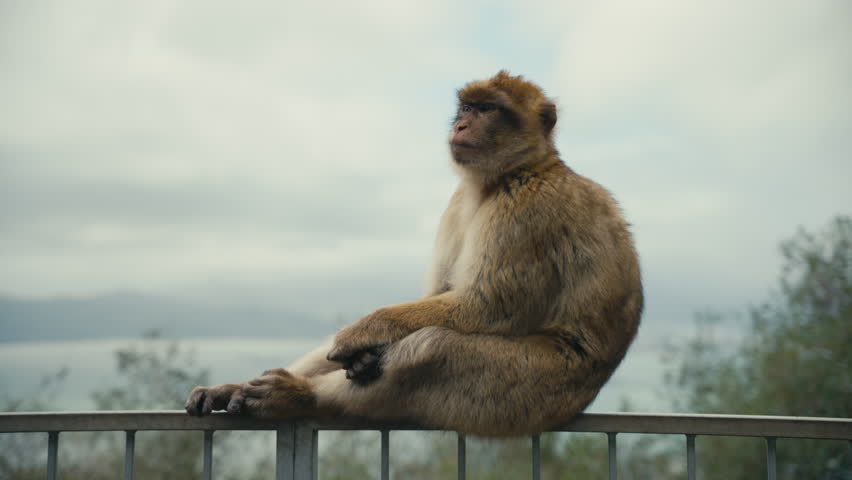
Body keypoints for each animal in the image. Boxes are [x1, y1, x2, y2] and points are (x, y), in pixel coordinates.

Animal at [185, 71, 643, 437]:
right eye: (467, 107)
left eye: (488, 109)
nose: (461, 123)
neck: (502, 179)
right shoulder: (460, 200)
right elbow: (441, 295)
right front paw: (363, 351)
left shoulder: (526, 208)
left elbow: (485, 306)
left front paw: (363, 334)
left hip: (529, 395)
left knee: (434, 347)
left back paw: (299, 396)